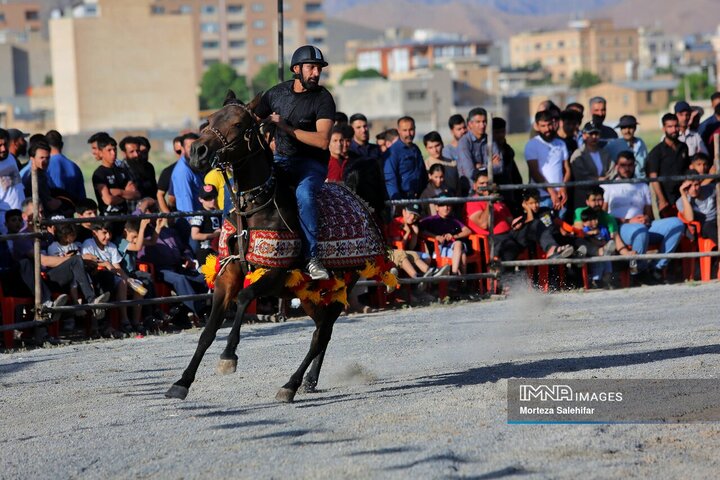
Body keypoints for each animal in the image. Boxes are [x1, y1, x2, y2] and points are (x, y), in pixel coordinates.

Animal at [166, 89, 382, 402]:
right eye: (209, 120)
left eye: (239, 123)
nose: (197, 152)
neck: (255, 207)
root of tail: (358, 199)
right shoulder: (229, 274)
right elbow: (208, 331)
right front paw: (181, 382)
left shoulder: (276, 274)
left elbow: (245, 297)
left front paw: (228, 356)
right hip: (309, 294)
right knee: (321, 331)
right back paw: (308, 381)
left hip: (339, 287)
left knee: (322, 334)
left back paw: (290, 385)